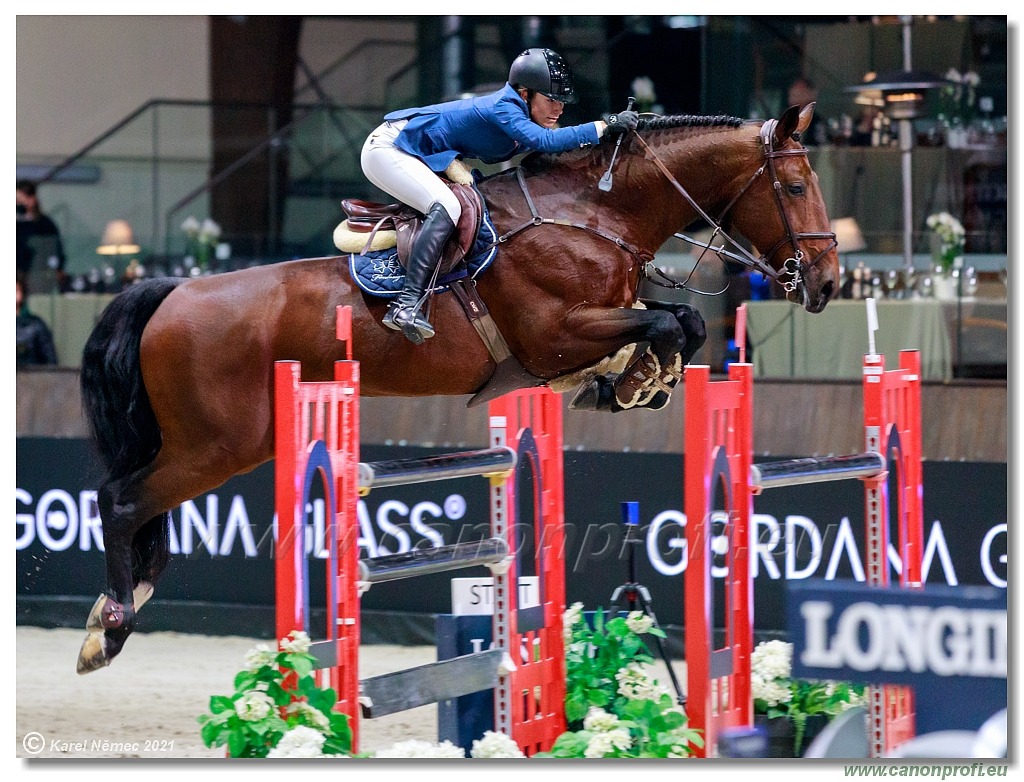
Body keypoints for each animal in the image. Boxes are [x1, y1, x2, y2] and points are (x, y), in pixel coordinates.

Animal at [75, 100, 835, 671]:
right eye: (797, 187)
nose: (826, 284)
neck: (596, 214)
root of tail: (172, 291)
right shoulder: (556, 332)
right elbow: (667, 321)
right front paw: (635, 379)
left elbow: (682, 322)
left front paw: (634, 382)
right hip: (218, 444)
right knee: (121, 501)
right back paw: (108, 627)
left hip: (223, 443)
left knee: (142, 512)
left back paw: (118, 610)